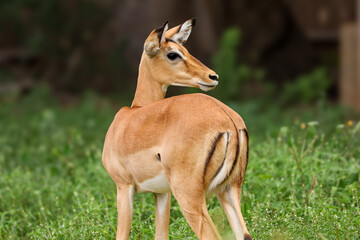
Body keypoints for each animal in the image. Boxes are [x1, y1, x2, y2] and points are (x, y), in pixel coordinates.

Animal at [102, 19, 250, 240]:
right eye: (173, 54)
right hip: (229, 190)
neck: (134, 113)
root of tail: (228, 120)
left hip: (189, 196)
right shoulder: (162, 193)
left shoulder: (123, 186)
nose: (213, 76)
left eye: (184, 50)